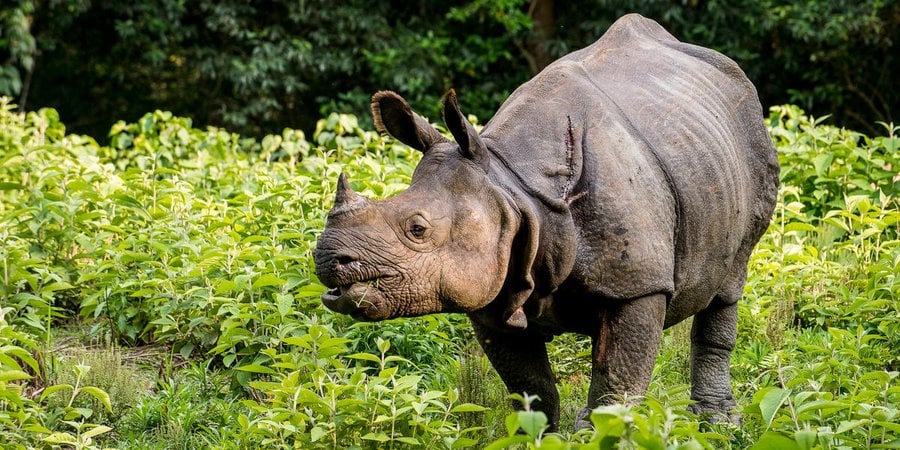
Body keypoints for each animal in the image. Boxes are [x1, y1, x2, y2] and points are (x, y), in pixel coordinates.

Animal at [313, 14, 779, 431]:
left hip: (750, 138)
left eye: (418, 229)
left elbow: (617, 380)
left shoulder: (640, 283)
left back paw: (719, 424)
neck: (513, 188)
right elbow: (531, 387)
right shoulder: (495, 286)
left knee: (730, 281)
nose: (327, 258)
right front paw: (540, 436)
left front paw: (599, 436)